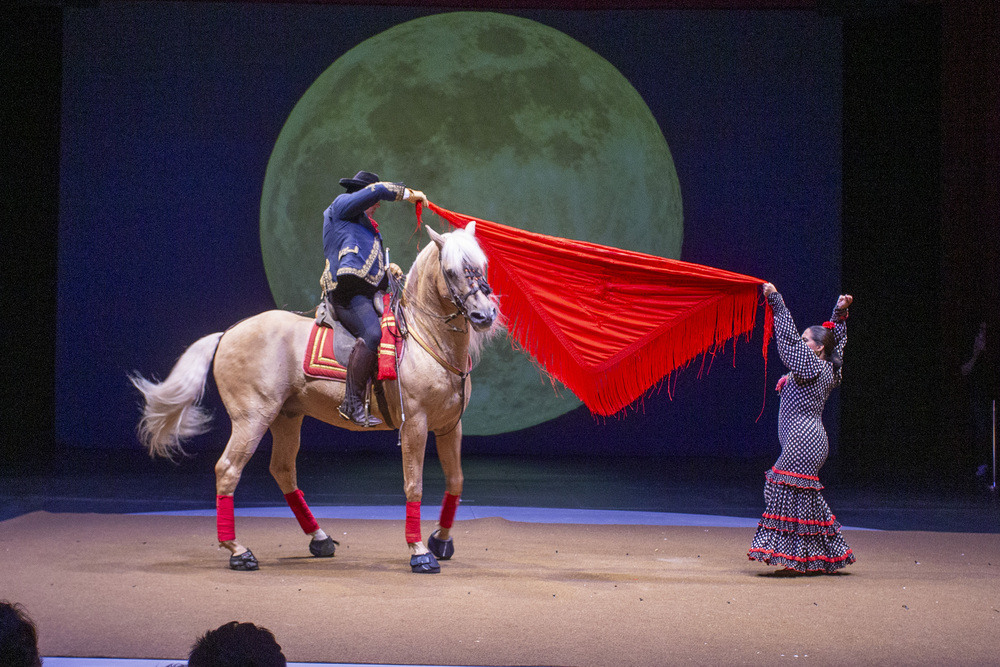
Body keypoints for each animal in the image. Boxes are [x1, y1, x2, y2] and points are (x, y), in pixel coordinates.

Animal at [131, 224, 498, 576]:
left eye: (482, 267)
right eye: (450, 271)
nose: (485, 315)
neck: (426, 338)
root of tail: (228, 333)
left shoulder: (449, 426)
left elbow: (456, 480)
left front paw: (441, 540)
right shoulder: (415, 426)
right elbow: (414, 485)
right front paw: (420, 552)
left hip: (286, 418)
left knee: (282, 470)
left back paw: (319, 539)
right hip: (252, 419)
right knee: (228, 469)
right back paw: (238, 551)